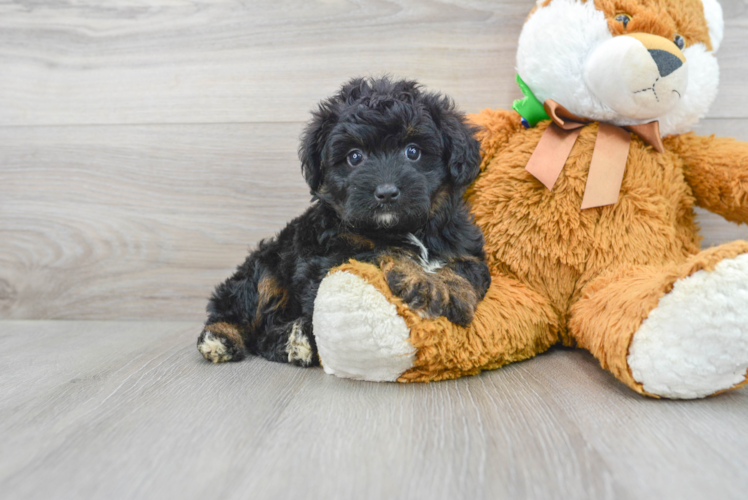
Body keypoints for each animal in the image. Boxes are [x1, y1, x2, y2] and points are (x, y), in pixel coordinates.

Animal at [199, 78, 490, 368]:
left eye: (413, 152)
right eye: (354, 156)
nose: (386, 192)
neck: (403, 228)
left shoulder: (462, 242)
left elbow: (469, 267)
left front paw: (452, 289)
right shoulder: (330, 254)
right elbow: (381, 250)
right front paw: (423, 279)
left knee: (262, 336)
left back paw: (294, 341)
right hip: (265, 266)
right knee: (240, 307)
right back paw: (222, 338)